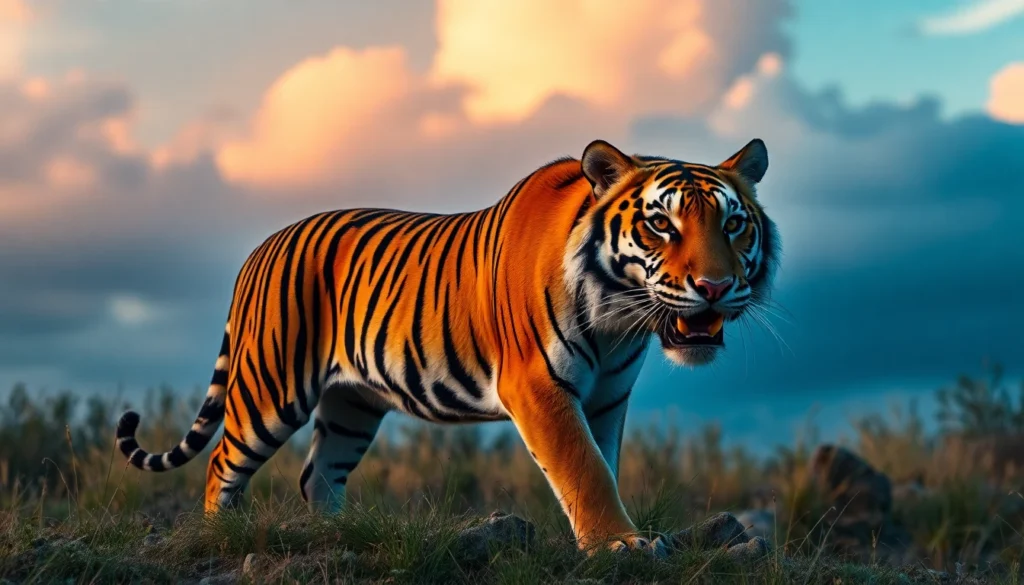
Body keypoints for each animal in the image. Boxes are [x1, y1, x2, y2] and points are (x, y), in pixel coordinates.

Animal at [115, 138, 779, 555]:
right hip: (270, 389)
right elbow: (584, 467)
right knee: (222, 464)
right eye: (660, 224)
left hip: (352, 404)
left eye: (734, 224)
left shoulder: (608, 397)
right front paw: (621, 544)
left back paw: (339, 539)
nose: (714, 287)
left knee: (318, 474)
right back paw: (220, 537)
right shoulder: (538, 384)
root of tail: (258, 250)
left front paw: (606, 537)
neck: (620, 320)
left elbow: (604, 463)